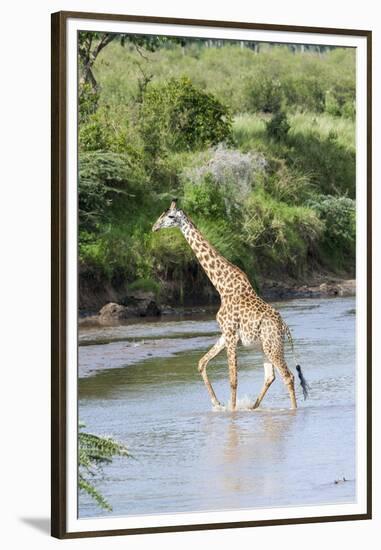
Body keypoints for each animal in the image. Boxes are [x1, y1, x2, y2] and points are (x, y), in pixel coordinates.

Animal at [151, 202, 308, 410]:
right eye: (161, 215)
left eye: (169, 216)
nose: (154, 227)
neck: (222, 285)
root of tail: (285, 328)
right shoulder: (226, 333)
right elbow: (202, 363)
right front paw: (217, 404)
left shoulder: (232, 335)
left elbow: (233, 379)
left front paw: (231, 411)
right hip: (264, 347)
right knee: (270, 376)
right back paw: (253, 407)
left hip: (272, 345)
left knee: (288, 376)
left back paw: (292, 410)